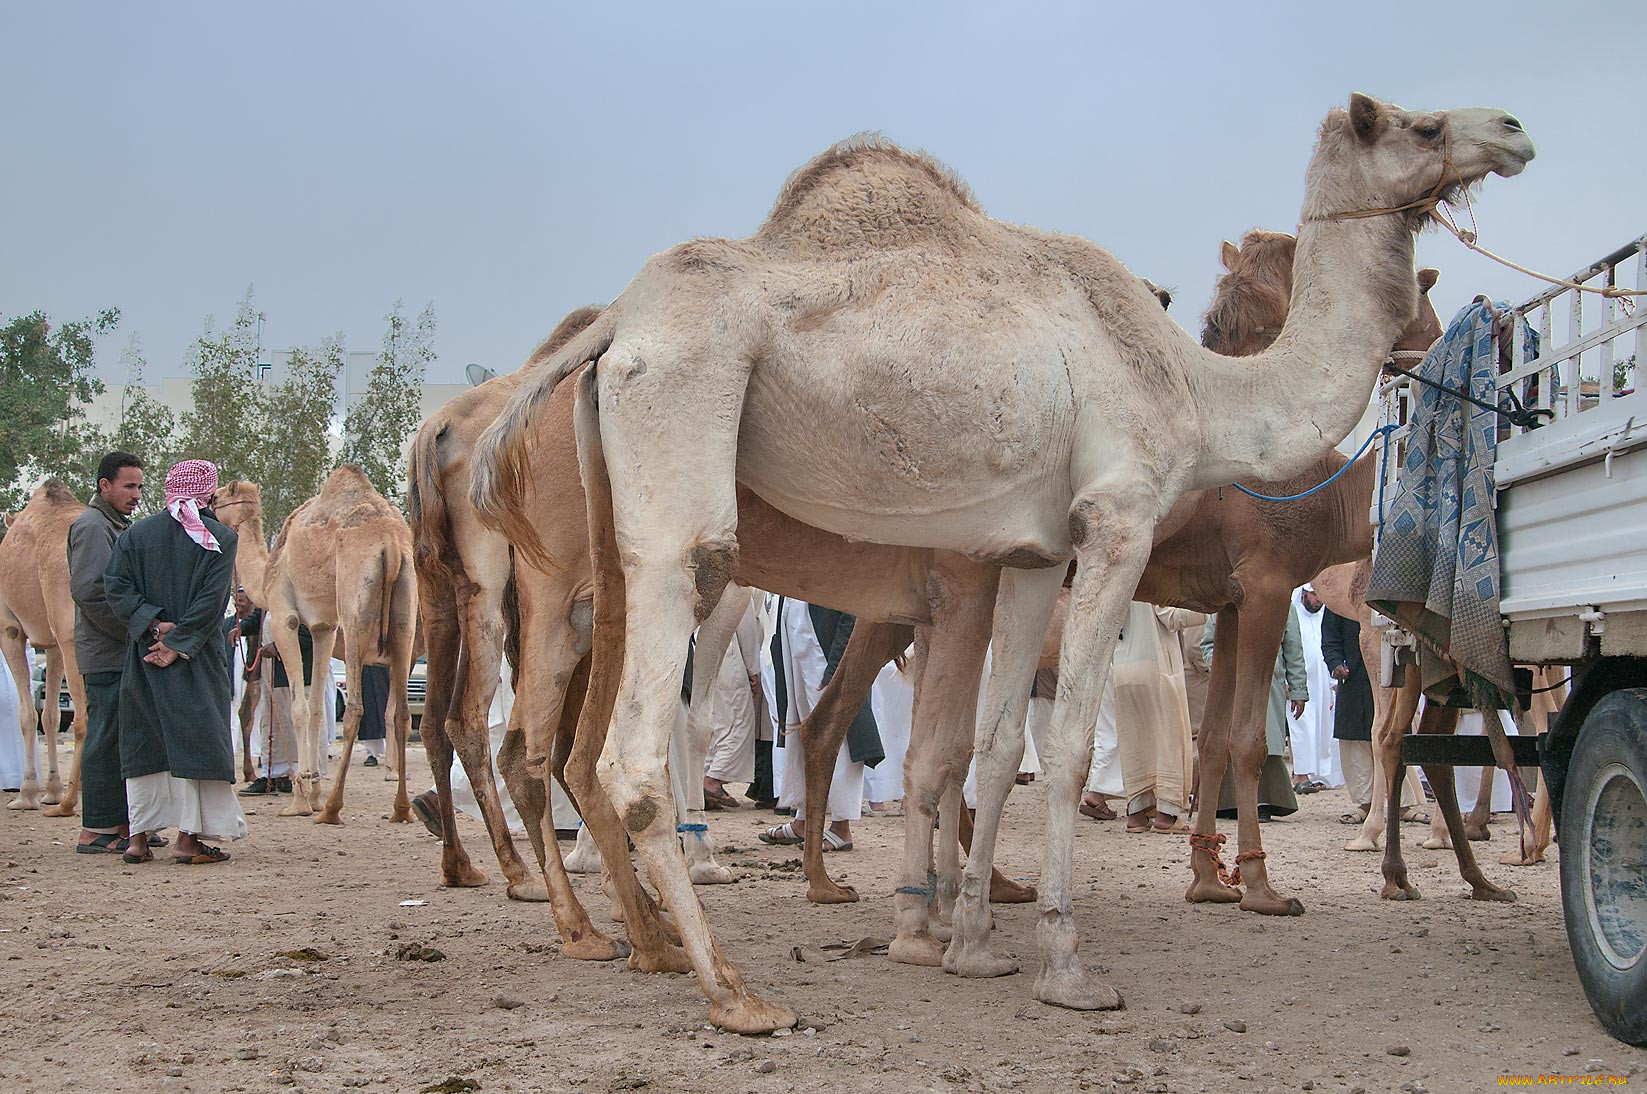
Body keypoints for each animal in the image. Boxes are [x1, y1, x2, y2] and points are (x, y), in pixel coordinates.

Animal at [0, 484, 89, 817]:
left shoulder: (10, 629)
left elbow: (27, 714)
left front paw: (27, 794)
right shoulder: (52, 644)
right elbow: (50, 714)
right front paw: (50, 790)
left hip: (72, 636)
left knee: (84, 717)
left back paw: (69, 803)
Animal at [212, 464, 415, 823]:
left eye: (217, 496)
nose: (205, 507)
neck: (269, 568)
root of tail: (391, 544)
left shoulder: (285, 617)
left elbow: (299, 708)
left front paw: (301, 796)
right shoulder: (324, 627)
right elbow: (318, 708)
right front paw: (314, 790)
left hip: (354, 605)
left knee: (356, 708)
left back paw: (333, 808)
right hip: (406, 611)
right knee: (402, 710)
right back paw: (401, 808)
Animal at [471, 98, 1535, 1028]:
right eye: (1416, 125)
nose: (1512, 130)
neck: (1198, 394)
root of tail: (615, 324)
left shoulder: (1030, 551)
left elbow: (985, 747)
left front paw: (971, 941)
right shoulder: (1119, 525)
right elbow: (1062, 749)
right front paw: (1066, 963)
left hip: (613, 538)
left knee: (582, 739)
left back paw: (646, 939)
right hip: (682, 435)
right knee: (641, 726)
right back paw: (731, 990)